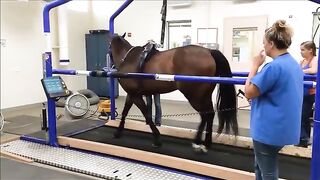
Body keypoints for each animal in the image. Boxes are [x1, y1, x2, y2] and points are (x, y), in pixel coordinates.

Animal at [109, 33, 238, 152]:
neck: (128, 59)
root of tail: (209, 51)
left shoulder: (136, 96)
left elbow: (146, 114)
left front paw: (157, 138)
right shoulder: (132, 94)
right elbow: (125, 111)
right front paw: (118, 131)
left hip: (195, 97)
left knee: (206, 114)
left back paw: (201, 142)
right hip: (203, 96)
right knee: (208, 115)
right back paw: (204, 142)